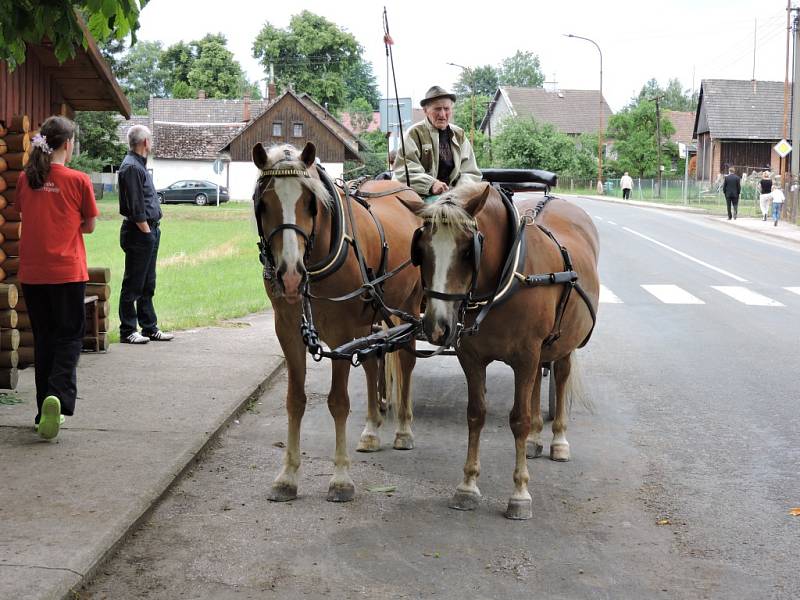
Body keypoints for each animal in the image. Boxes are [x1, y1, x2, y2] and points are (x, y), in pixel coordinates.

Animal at [253, 141, 422, 502]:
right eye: (263, 203)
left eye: (309, 202)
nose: (290, 275)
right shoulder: (288, 330)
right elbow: (295, 400)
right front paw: (288, 476)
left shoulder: (344, 334)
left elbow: (338, 402)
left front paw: (341, 478)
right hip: (371, 319)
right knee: (373, 362)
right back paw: (371, 430)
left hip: (410, 306)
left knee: (405, 362)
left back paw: (403, 429)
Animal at [404, 184, 596, 520]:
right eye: (421, 250)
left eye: (468, 251)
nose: (437, 327)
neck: (508, 275)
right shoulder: (472, 358)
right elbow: (476, 414)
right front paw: (468, 486)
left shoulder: (525, 356)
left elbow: (518, 419)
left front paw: (519, 493)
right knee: (535, 389)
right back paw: (535, 439)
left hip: (563, 345)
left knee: (559, 378)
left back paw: (558, 440)